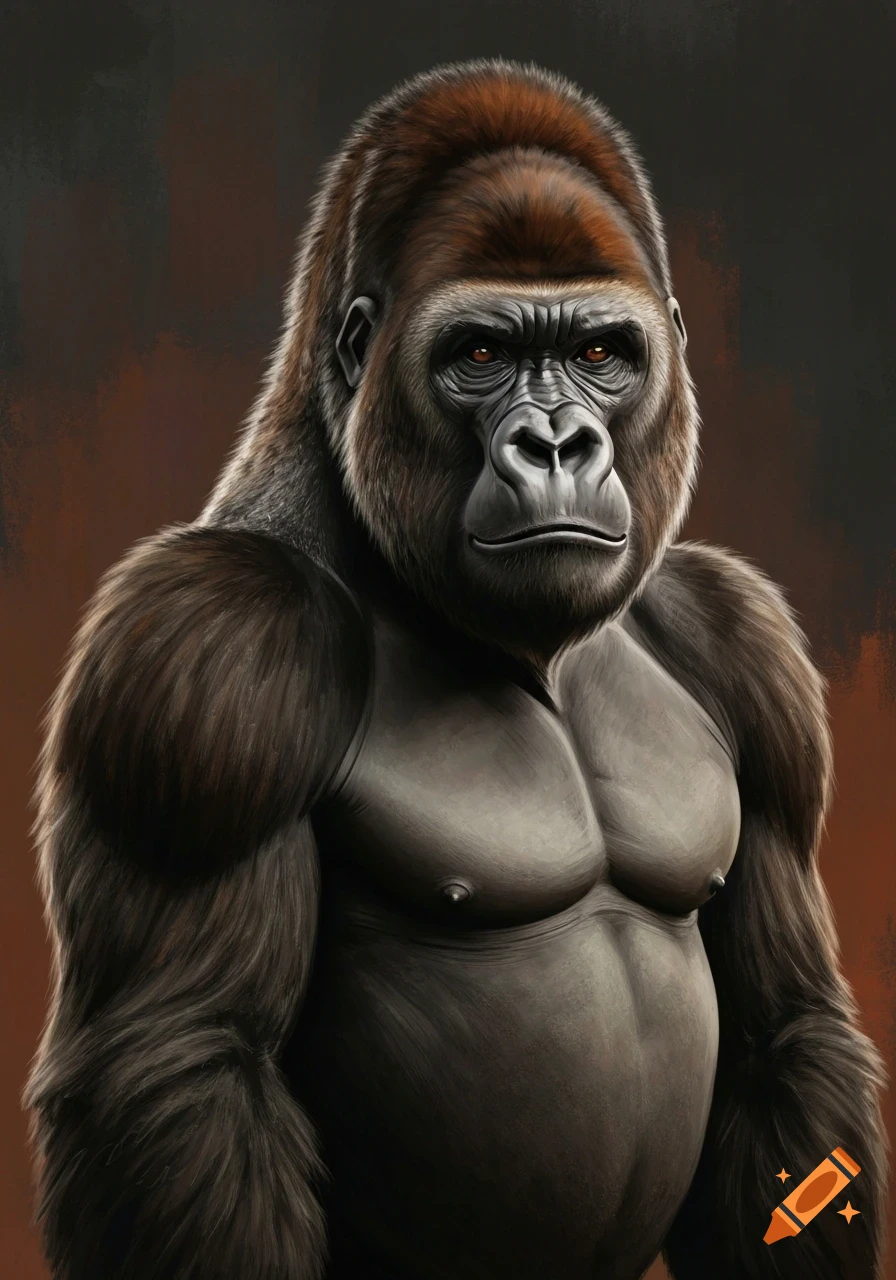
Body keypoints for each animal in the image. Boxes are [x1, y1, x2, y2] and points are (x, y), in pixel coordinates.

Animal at [25, 59, 888, 1280]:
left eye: (598, 354)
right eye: (478, 355)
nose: (557, 443)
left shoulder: (741, 640)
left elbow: (784, 1028)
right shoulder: (205, 643)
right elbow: (187, 1061)